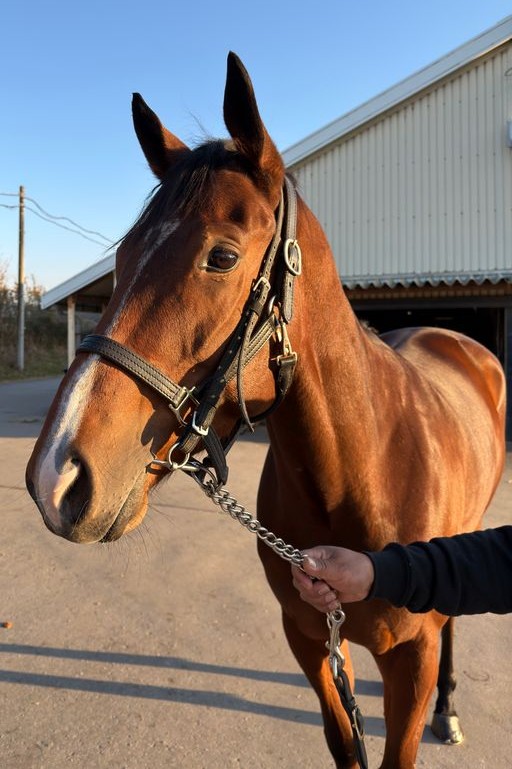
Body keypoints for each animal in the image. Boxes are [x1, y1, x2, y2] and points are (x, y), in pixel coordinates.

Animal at [26, 53, 506, 769]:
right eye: (122, 255)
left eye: (222, 256)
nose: (55, 478)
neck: (361, 474)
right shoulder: (310, 638)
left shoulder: (410, 660)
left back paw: (449, 708)